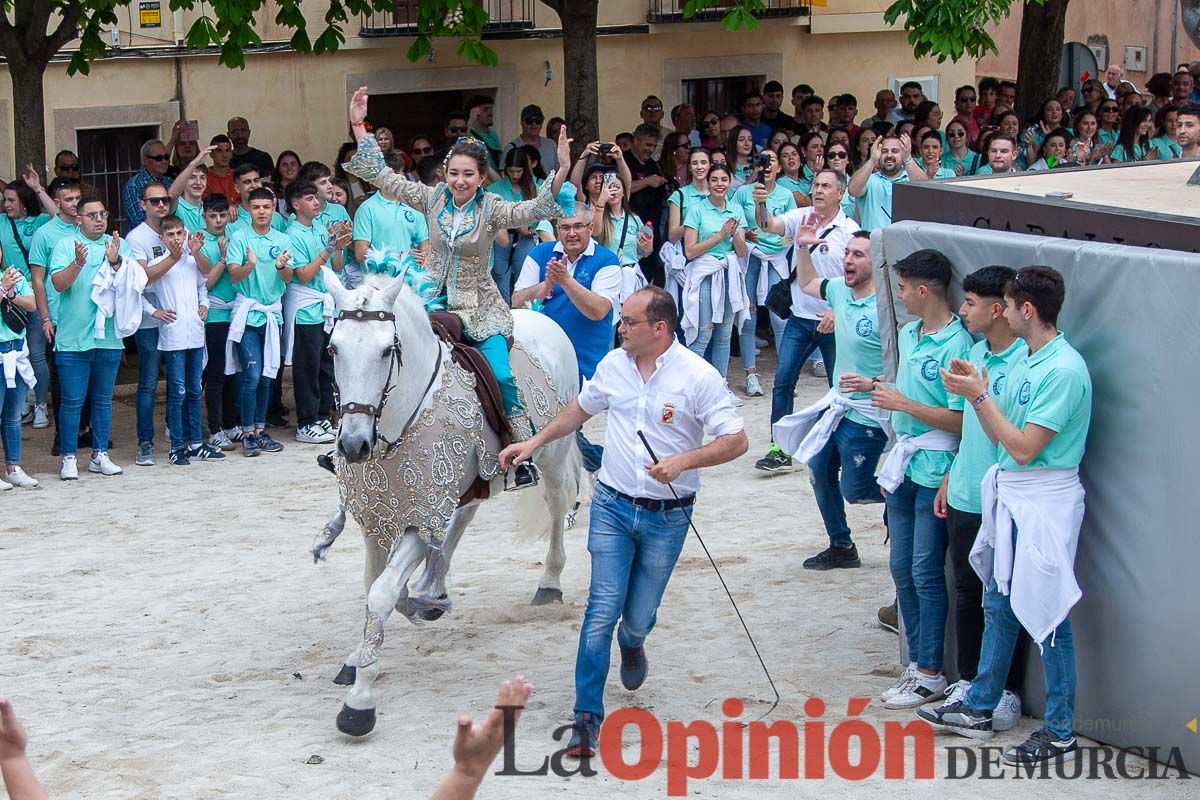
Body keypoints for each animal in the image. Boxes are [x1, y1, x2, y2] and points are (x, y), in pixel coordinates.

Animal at [319, 273, 580, 738]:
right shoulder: (375, 516)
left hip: (552, 453)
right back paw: (433, 589)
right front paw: (361, 654)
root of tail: (548, 322)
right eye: (334, 348)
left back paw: (548, 582)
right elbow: (373, 585)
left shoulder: (421, 516)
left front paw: (359, 703)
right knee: (465, 516)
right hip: (468, 484)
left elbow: (382, 593)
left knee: (555, 506)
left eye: (386, 350)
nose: (352, 445)